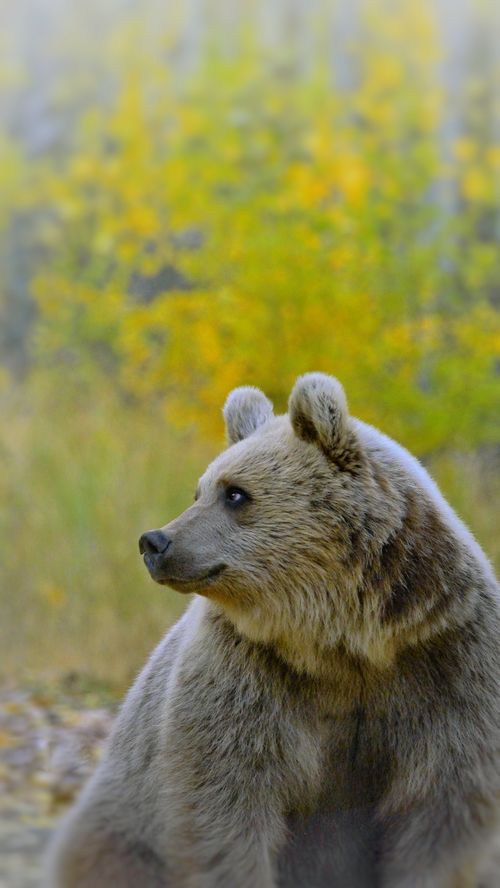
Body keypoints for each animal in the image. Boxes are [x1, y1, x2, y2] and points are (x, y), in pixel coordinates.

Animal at [45, 372, 500, 888]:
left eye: (235, 493)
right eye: (199, 490)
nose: (154, 542)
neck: (344, 638)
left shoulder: (446, 662)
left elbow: (443, 806)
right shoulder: (246, 675)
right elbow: (224, 803)